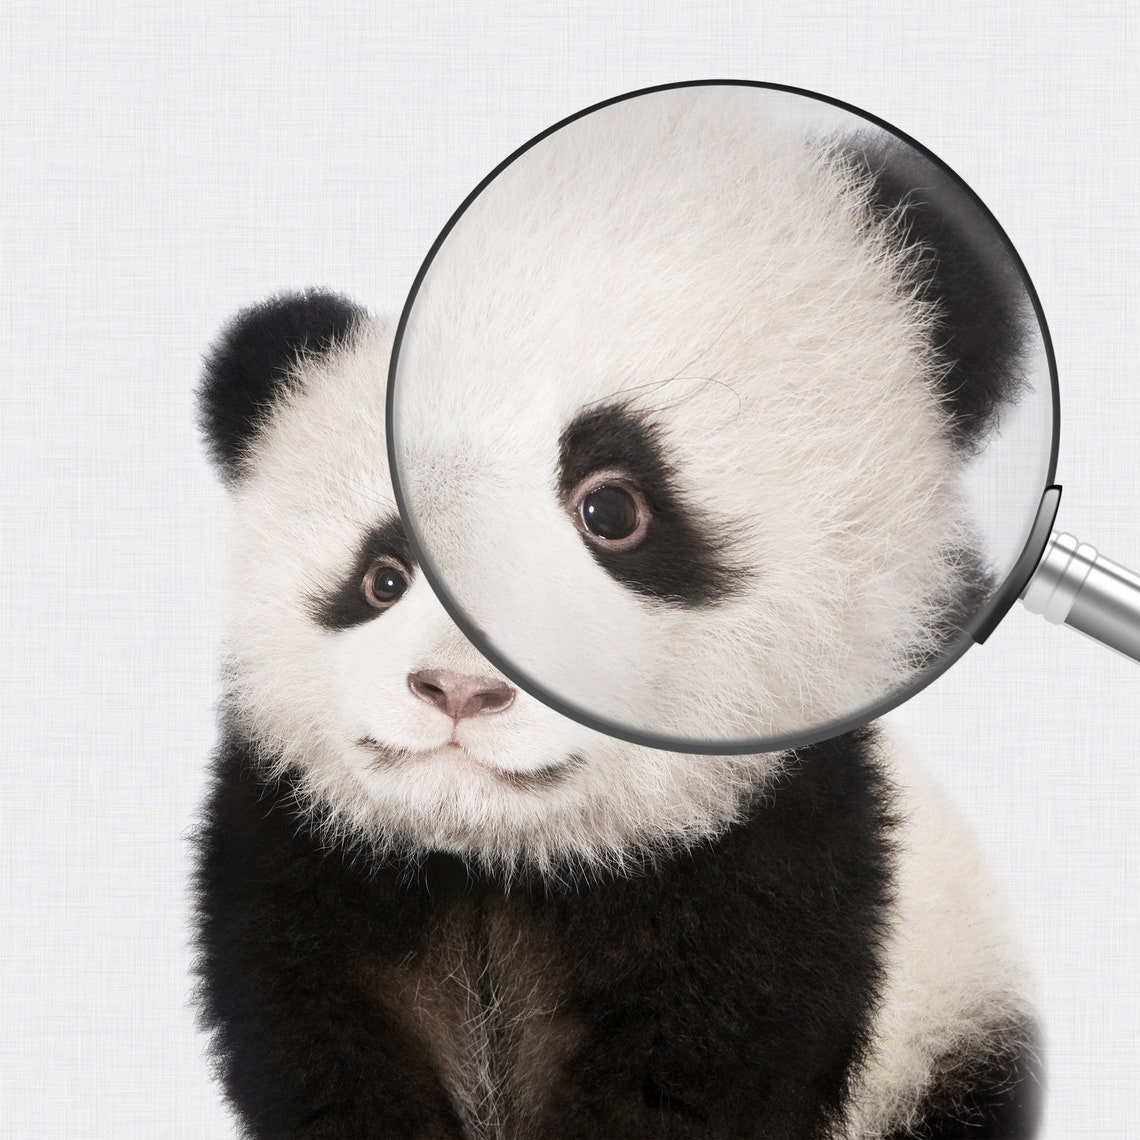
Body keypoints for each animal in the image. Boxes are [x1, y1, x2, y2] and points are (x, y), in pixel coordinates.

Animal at [193, 88, 1042, 1139]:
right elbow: (325, 1044)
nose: (458, 690)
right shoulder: (306, 861)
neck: (507, 865)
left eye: (612, 509)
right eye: (384, 574)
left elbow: (692, 1070)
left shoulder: (784, 862)